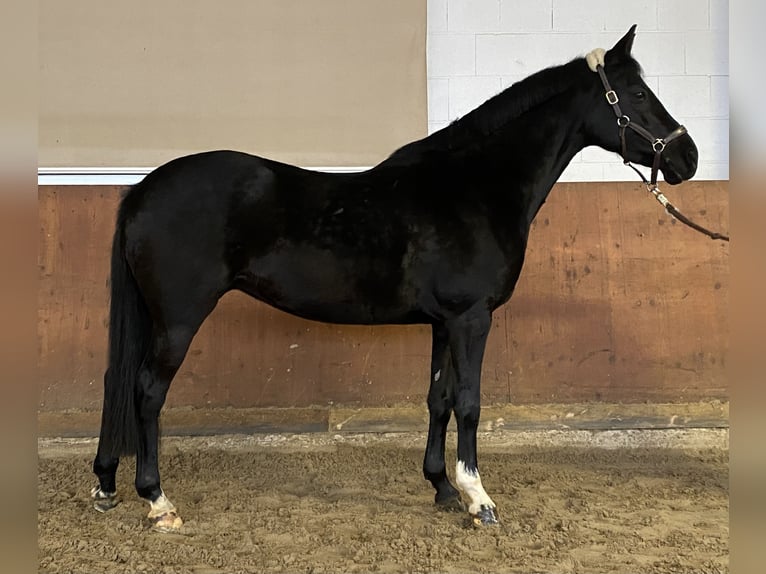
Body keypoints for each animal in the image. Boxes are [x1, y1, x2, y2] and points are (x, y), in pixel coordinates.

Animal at [91, 25, 704, 532]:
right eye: (638, 95)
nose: (689, 158)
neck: (474, 187)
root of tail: (142, 190)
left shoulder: (443, 322)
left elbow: (438, 399)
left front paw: (442, 488)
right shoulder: (472, 319)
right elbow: (470, 402)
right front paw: (479, 500)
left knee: (117, 383)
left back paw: (105, 486)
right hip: (178, 318)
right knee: (147, 391)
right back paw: (158, 502)